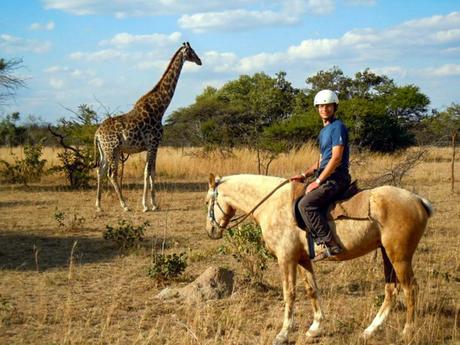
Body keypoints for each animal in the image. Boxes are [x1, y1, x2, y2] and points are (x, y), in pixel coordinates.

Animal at [93, 41, 201, 211]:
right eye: (192, 52)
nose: (200, 61)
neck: (160, 108)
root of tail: (97, 133)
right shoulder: (153, 144)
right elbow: (149, 172)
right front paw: (149, 205)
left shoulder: (152, 146)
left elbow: (149, 172)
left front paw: (151, 203)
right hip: (112, 149)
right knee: (111, 174)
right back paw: (124, 205)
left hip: (105, 151)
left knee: (100, 170)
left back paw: (98, 205)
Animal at [207, 173, 434, 342]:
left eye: (209, 200)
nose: (211, 231)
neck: (273, 204)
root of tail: (418, 200)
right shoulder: (302, 259)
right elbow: (311, 290)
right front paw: (315, 327)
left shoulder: (286, 259)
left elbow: (289, 294)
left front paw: (283, 333)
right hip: (388, 255)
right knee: (391, 290)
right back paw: (370, 330)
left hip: (399, 257)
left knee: (410, 289)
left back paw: (407, 331)